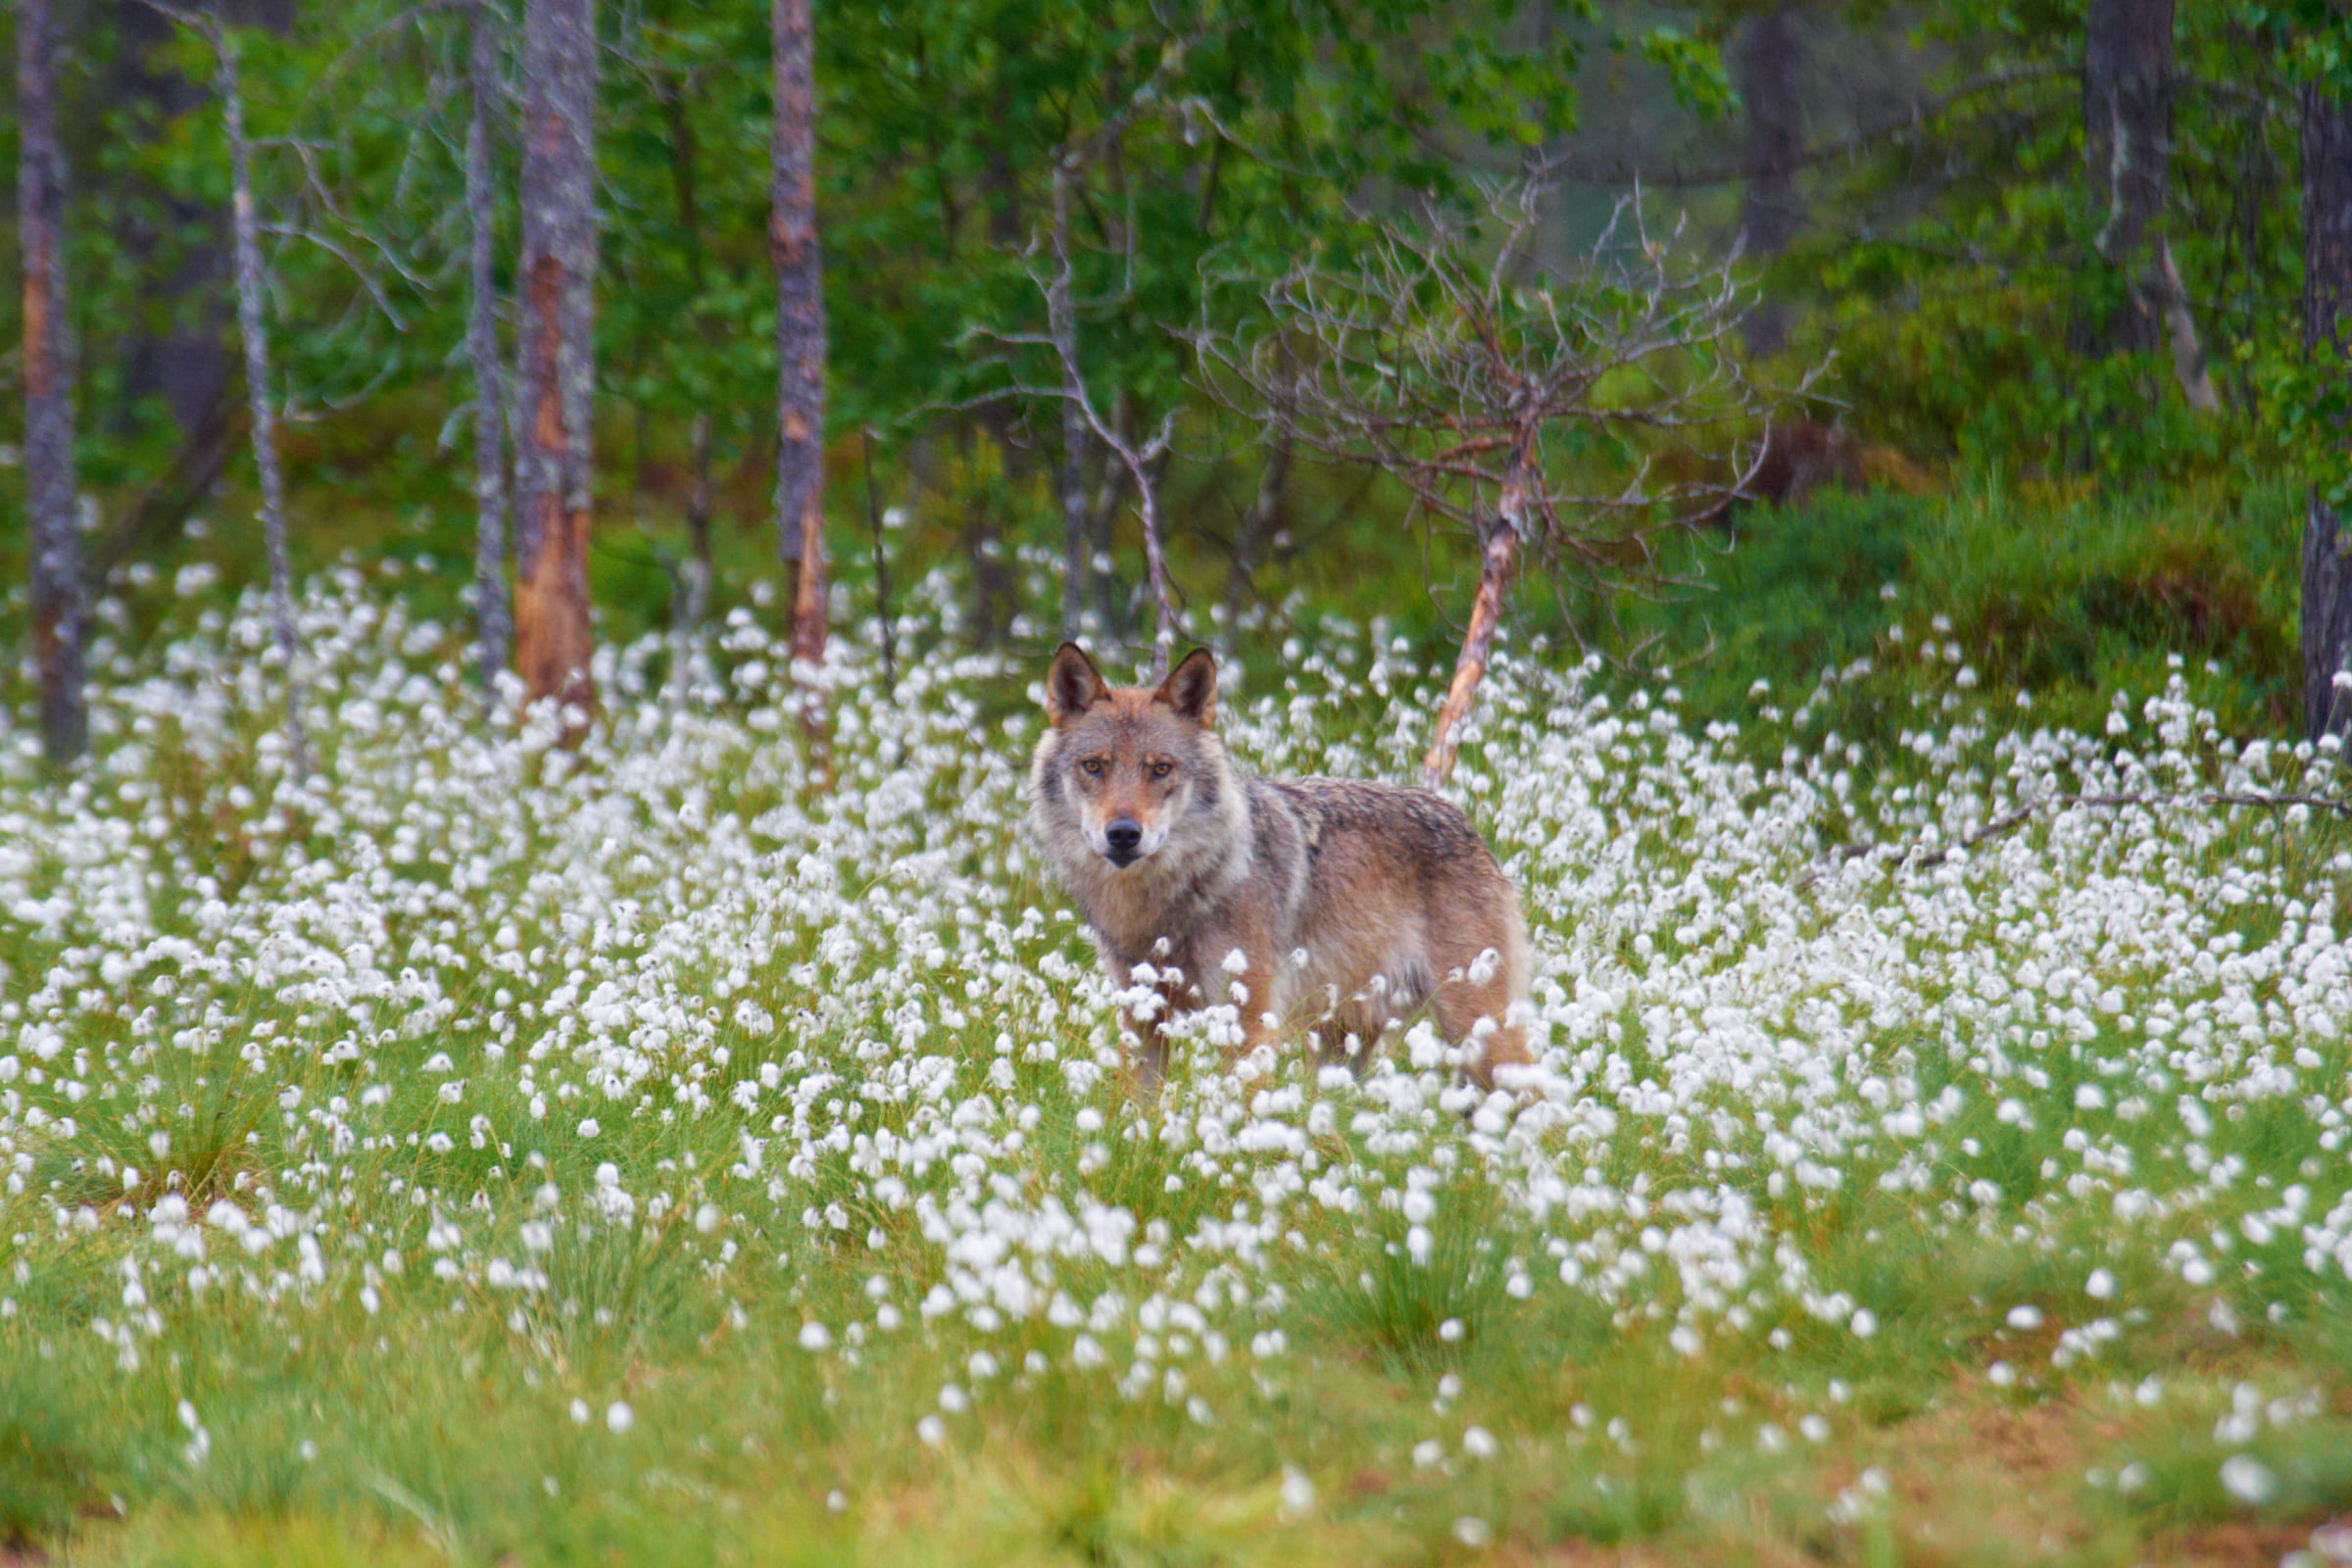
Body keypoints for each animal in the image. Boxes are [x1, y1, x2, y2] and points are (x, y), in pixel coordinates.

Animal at [1020, 644, 1533, 1100]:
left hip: (1477, 1035)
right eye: (1093, 766)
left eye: (1160, 769)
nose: (1124, 834)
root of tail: (1464, 821)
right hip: (1343, 1045)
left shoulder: (1247, 1019)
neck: (1160, 905)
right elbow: (1134, 1111)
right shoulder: (1142, 1013)